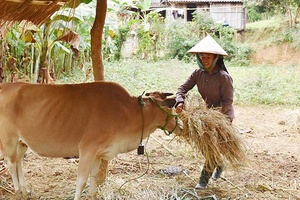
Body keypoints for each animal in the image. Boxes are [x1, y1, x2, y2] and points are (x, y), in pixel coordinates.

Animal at [0, 81, 183, 200]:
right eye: (173, 108)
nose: (181, 126)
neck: (128, 112)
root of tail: (5, 85)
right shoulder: (87, 149)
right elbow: (81, 181)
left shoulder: (98, 153)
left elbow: (94, 176)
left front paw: (92, 194)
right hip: (9, 138)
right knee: (11, 162)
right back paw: (17, 189)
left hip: (22, 142)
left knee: (18, 162)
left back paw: (25, 189)